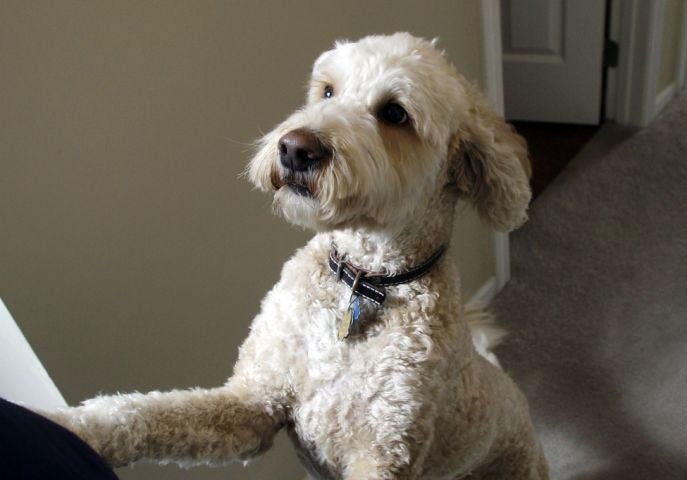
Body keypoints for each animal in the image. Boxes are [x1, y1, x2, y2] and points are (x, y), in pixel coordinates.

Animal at [44, 34, 548, 480]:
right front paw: (66, 427)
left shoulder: (383, 451)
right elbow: (141, 412)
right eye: (326, 90)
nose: (295, 148)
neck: (363, 280)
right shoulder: (255, 401)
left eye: (394, 113)